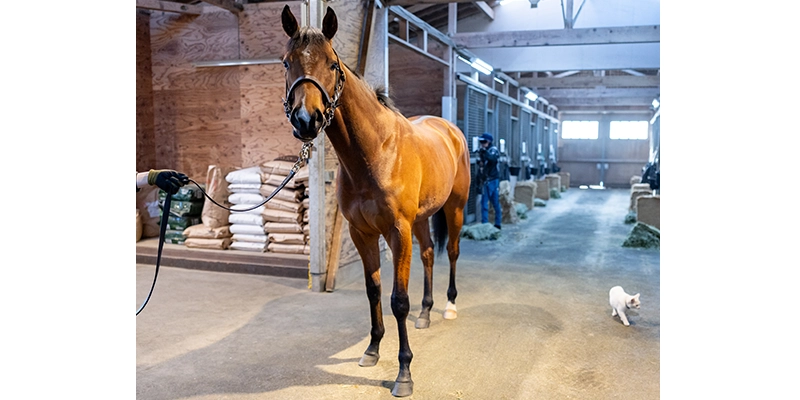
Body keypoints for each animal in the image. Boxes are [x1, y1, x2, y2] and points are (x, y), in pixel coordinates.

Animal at [280, 6, 471, 397]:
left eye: (332, 63)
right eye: (287, 62)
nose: (306, 120)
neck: (376, 153)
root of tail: (450, 130)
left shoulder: (397, 232)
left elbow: (398, 299)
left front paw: (404, 372)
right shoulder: (361, 233)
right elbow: (373, 291)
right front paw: (371, 349)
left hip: (455, 208)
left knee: (453, 252)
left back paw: (448, 307)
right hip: (421, 219)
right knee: (429, 253)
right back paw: (426, 314)